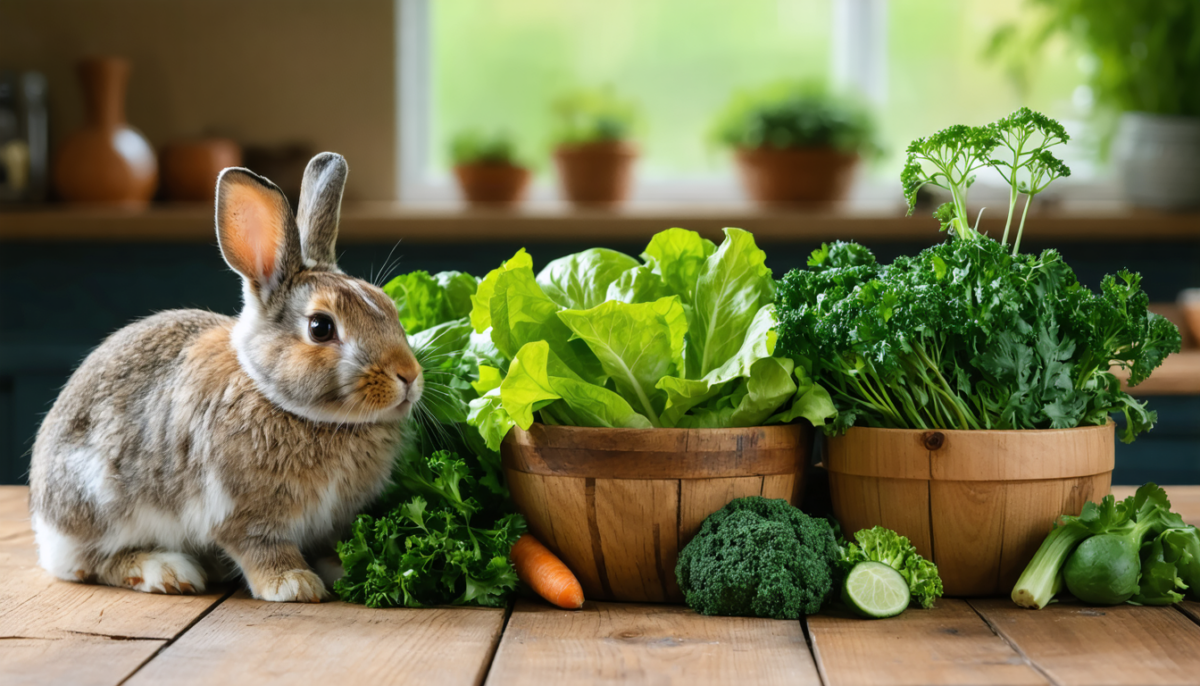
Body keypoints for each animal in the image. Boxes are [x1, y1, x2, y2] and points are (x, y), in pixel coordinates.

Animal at [28, 152, 422, 602]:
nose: (409, 375)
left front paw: (343, 570)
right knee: (91, 564)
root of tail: (43, 521)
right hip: (98, 507)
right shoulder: (241, 513)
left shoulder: (332, 521)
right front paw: (294, 584)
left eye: (388, 305)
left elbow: (330, 546)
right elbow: (261, 547)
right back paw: (168, 571)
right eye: (321, 328)